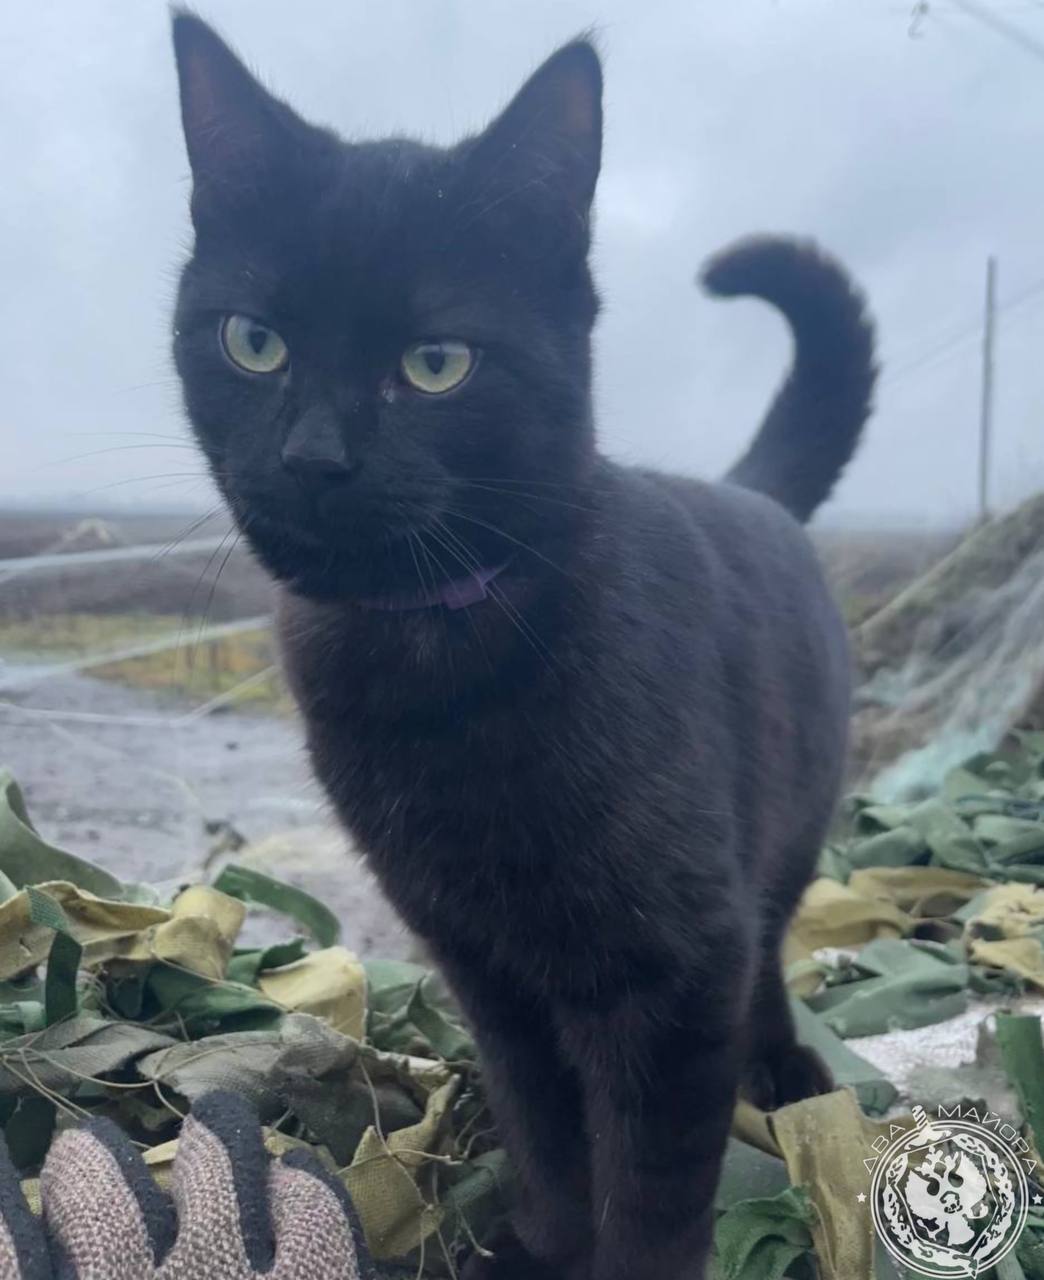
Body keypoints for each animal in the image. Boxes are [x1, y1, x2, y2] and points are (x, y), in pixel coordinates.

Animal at [170, 14, 876, 1280]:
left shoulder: (675, 968)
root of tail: (754, 495)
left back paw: (788, 1066)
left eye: (436, 362)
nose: (313, 458)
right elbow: (550, 1132)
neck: (436, 663)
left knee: (771, 948)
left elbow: (650, 1176)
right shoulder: (484, 966)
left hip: (787, 832)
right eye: (254, 342)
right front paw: (543, 1243)